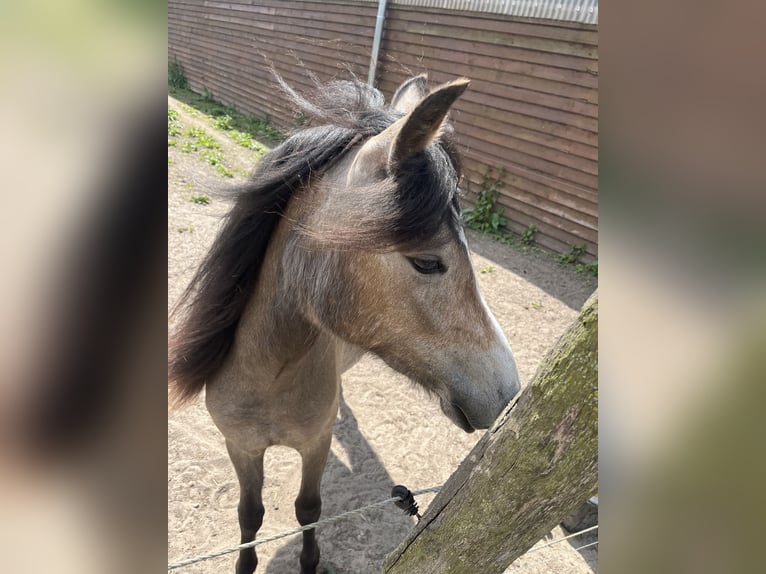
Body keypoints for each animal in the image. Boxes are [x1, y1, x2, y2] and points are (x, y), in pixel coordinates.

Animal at [170, 75, 520, 574]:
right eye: (427, 262)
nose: (508, 393)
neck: (268, 377)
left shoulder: (315, 444)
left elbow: (308, 509)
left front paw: (310, 562)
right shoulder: (240, 446)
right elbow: (250, 513)